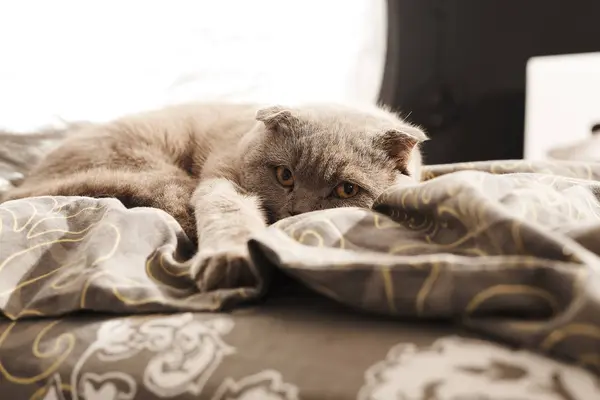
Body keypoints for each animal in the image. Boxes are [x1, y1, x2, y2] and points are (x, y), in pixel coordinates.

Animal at [3, 103, 426, 290]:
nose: (298, 211)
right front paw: (231, 261)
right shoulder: (223, 181)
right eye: (284, 175)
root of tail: (27, 181)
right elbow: (229, 216)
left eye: (346, 190)